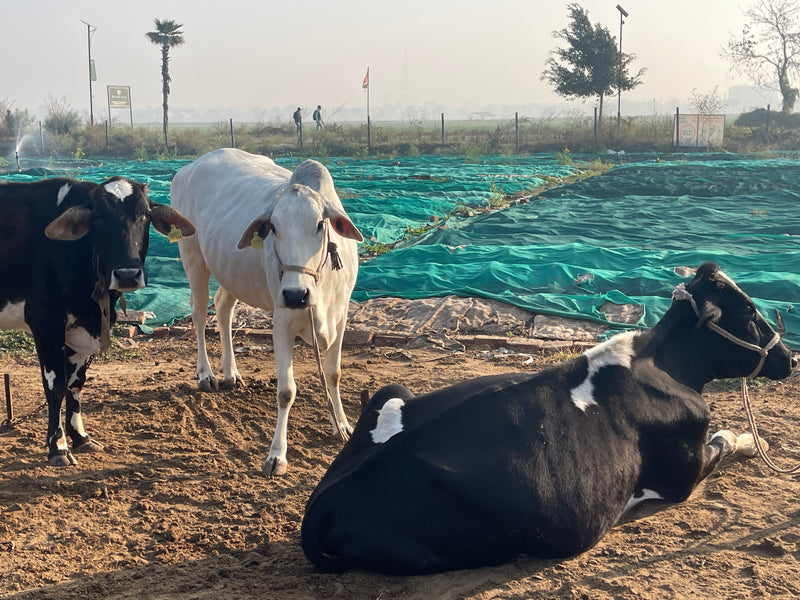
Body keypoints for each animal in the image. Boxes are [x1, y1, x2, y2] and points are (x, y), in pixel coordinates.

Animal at [0, 176, 195, 466]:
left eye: (145, 214)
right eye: (99, 217)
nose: (127, 274)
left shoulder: (80, 331)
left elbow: (76, 383)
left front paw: (80, 437)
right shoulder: (45, 322)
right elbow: (56, 386)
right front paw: (58, 447)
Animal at [170, 148, 363, 477]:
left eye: (319, 225)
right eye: (273, 227)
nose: (296, 294)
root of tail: (188, 168)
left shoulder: (341, 316)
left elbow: (334, 373)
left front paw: (342, 425)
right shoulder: (282, 321)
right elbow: (286, 391)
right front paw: (277, 455)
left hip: (231, 273)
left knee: (223, 308)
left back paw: (231, 373)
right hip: (193, 257)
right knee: (199, 312)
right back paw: (207, 374)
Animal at [301, 263, 797, 575]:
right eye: (749, 311)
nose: (789, 358)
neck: (664, 365)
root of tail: (325, 500)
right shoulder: (685, 472)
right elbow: (726, 438)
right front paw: (758, 441)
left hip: (391, 392)